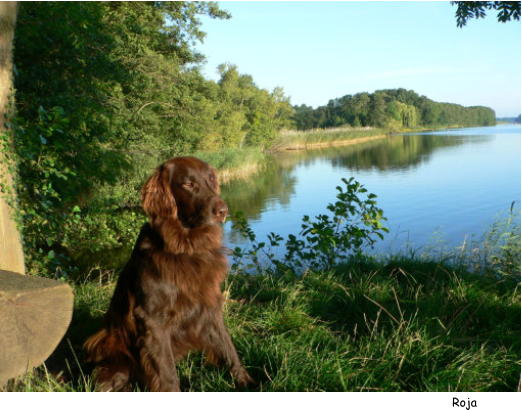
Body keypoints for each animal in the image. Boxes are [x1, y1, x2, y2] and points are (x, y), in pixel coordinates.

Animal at [84, 156, 253, 390]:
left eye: (211, 179)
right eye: (188, 184)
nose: (223, 210)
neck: (185, 248)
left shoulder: (210, 307)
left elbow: (229, 350)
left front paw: (248, 382)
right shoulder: (153, 322)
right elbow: (167, 374)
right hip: (113, 358)